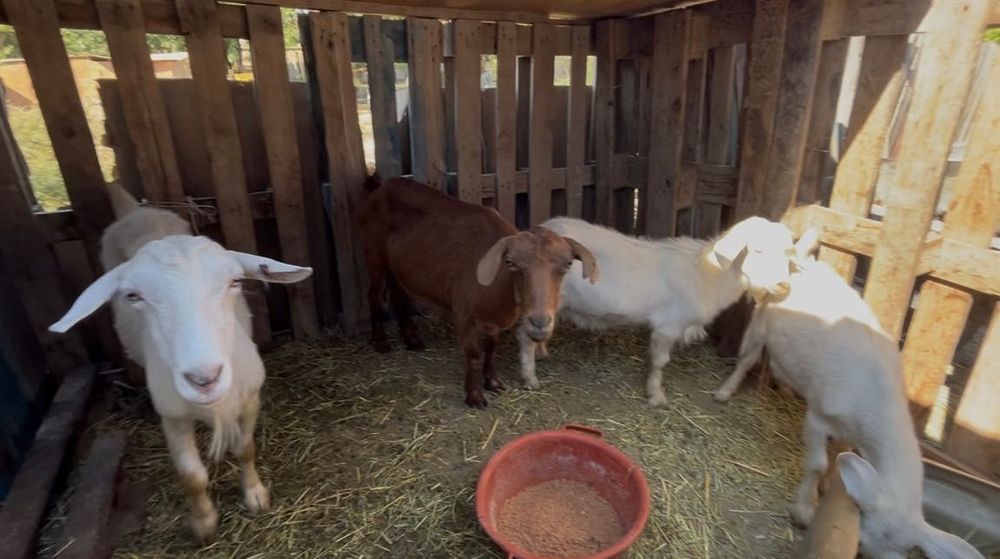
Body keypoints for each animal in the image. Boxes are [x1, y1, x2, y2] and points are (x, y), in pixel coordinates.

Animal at [49, 184, 313, 542]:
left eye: (235, 282)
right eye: (133, 296)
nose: (205, 378)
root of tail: (136, 210)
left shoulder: (250, 399)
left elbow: (245, 449)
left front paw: (256, 496)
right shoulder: (172, 417)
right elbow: (191, 476)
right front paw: (203, 523)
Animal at [358, 176, 598, 408]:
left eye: (568, 264)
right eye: (510, 263)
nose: (539, 323)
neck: (498, 290)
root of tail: (381, 186)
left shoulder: (495, 321)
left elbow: (492, 348)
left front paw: (493, 382)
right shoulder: (464, 314)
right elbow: (473, 354)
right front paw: (474, 397)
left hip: (396, 265)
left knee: (398, 295)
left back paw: (412, 340)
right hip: (374, 255)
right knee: (373, 296)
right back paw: (381, 342)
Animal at [532, 216, 799, 407]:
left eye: (788, 252)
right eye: (757, 250)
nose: (784, 286)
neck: (706, 274)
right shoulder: (668, 326)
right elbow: (661, 361)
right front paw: (656, 396)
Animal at [714, 231, 984, 559]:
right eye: (862, 543)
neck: (876, 394)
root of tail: (799, 262)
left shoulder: (851, 430)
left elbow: (838, 455)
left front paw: (831, 483)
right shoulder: (818, 417)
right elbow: (817, 463)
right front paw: (805, 509)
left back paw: (787, 388)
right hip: (761, 321)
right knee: (749, 357)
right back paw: (727, 390)